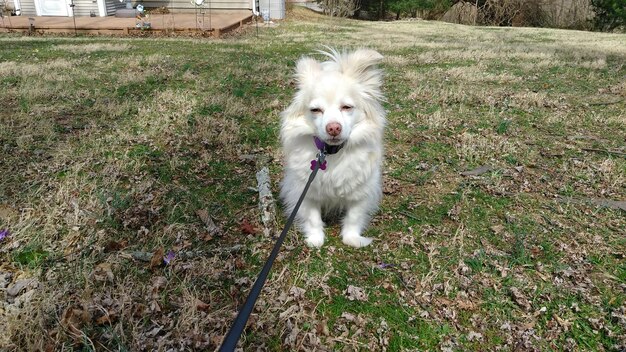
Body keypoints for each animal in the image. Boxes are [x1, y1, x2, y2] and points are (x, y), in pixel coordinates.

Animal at [280, 48, 386, 248]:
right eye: (315, 110)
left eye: (347, 107)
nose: (333, 127)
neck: (331, 153)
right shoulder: (305, 192)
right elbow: (312, 217)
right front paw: (315, 240)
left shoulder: (361, 192)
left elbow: (354, 217)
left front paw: (352, 238)